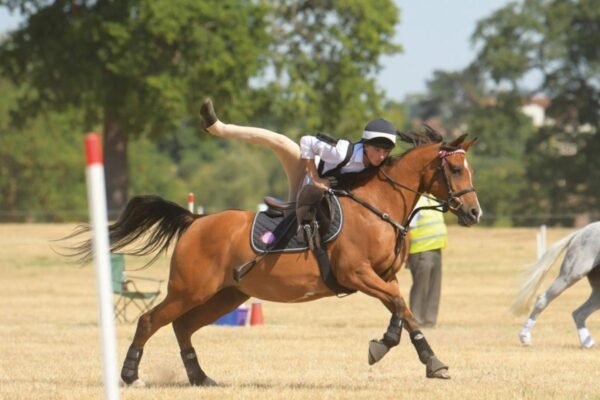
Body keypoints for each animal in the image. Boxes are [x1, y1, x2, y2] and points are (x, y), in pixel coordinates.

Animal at [63, 130, 480, 386]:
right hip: (190, 289)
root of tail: (195, 221)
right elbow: (398, 304)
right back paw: (131, 375)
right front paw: (409, 355)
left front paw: (411, 355)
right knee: (150, 320)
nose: (474, 213)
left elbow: (401, 308)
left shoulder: (383, 275)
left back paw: (200, 377)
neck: (378, 206)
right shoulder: (357, 274)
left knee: (183, 326)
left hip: (227, 295)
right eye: (454, 168)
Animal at [510, 220, 600, 348]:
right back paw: (525, 337)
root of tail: (581, 231)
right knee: (543, 300)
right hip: (571, 275)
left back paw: (588, 343)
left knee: (579, 313)